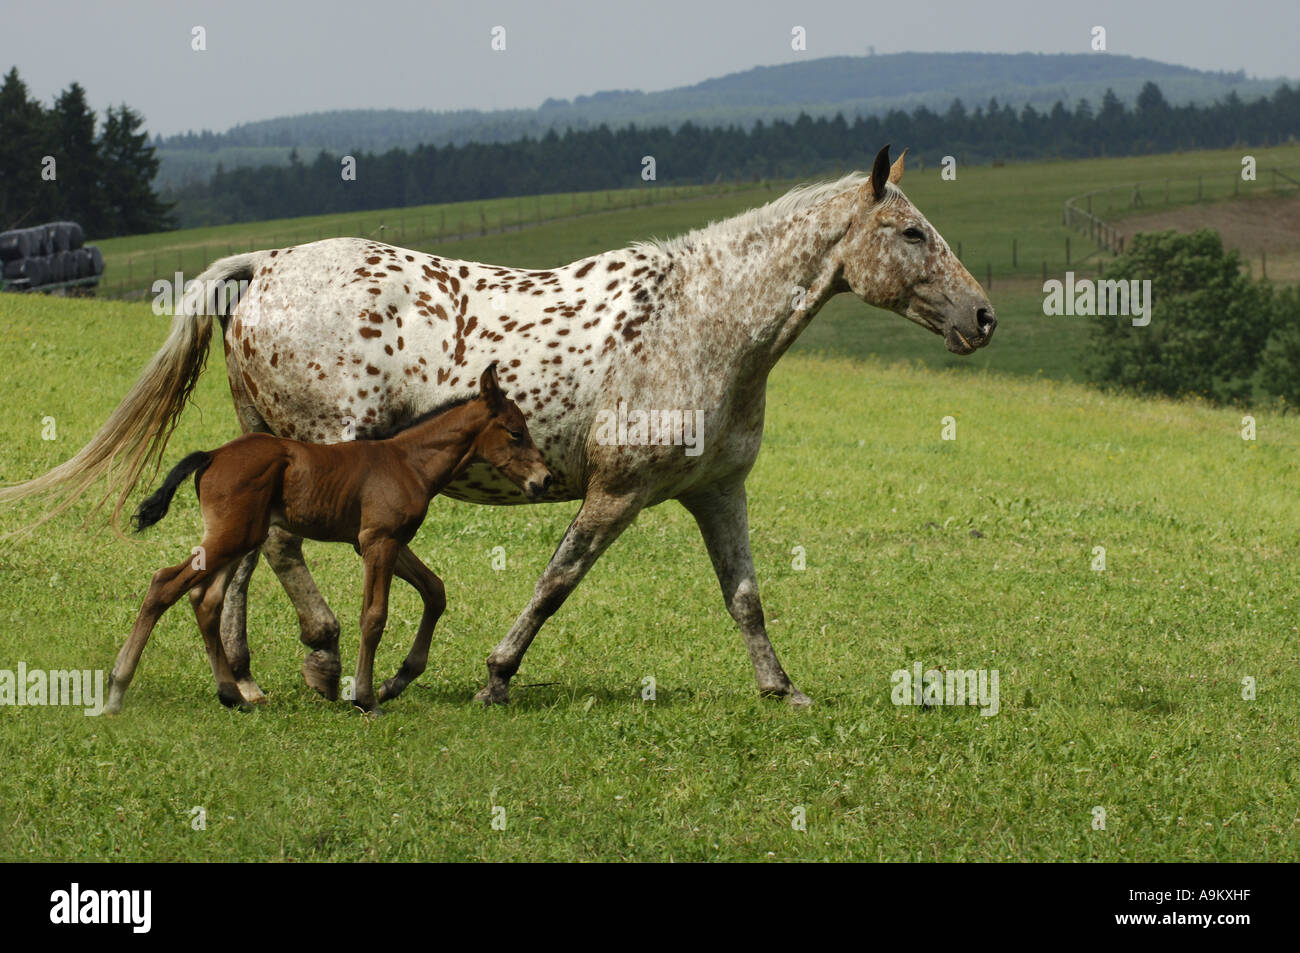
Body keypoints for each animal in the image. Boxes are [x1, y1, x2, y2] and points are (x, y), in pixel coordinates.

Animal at [102, 364, 548, 712]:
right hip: (231, 537)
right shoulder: (379, 542)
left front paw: (396, 681)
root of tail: (212, 455)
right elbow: (374, 616)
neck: (408, 462)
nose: (542, 480)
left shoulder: (381, 542)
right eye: (515, 432)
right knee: (164, 583)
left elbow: (434, 591)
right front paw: (365, 698)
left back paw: (231, 695)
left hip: (239, 538)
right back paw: (117, 689)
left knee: (204, 599)